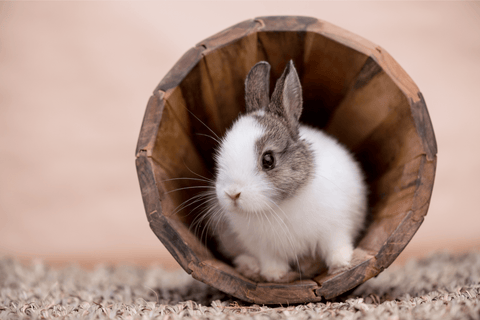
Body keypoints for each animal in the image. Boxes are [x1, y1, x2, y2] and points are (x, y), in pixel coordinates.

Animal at [210, 60, 368, 282]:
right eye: (220, 154)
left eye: (268, 160)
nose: (232, 194)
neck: (277, 207)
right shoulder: (263, 248)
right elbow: (271, 261)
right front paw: (275, 276)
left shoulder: (335, 228)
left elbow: (336, 246)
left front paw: (341, 265)